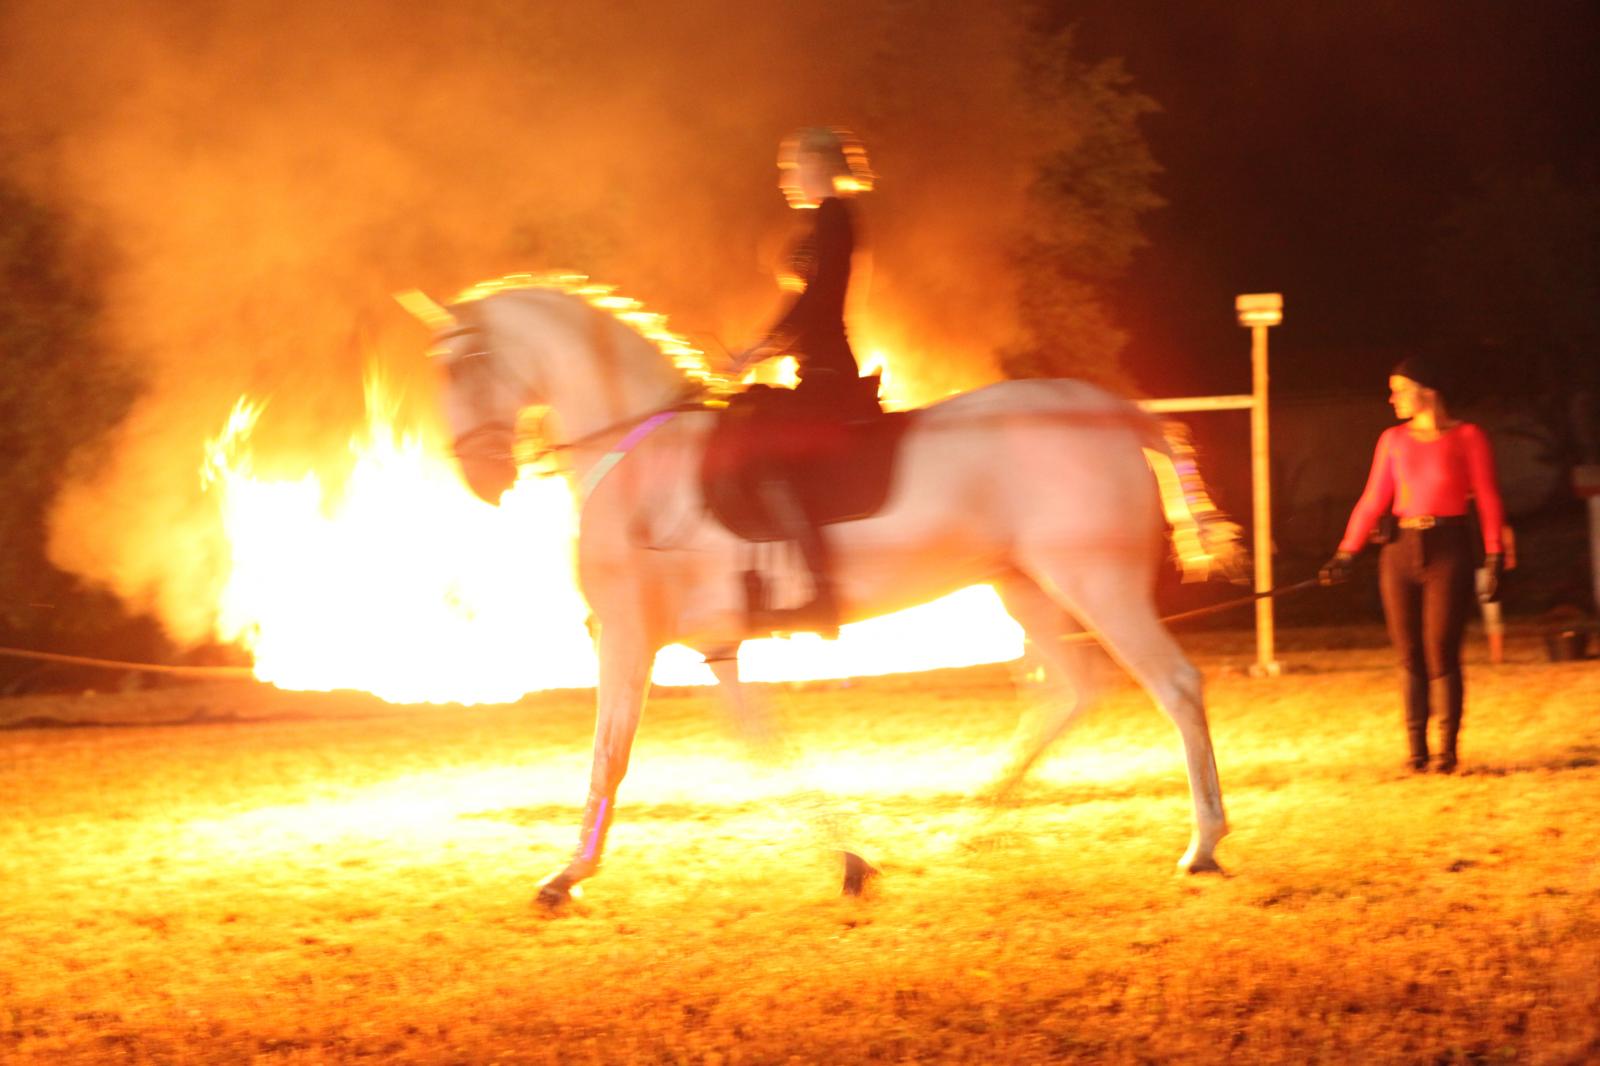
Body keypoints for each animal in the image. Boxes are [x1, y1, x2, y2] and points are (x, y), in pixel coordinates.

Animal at [412, 276, 1243, 906]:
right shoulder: (715, 646)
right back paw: (972, 821)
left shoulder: (628, 636)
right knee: (1069, 691)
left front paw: (566, 874)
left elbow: (609, 753)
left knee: (1174, 686)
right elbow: (763, 744)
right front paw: (852, 861)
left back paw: (1202, 844)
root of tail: (1110, 411)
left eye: (464, 364)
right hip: (1022, 588)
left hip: (1094, 585)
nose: (482, 477)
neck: (640, 453)